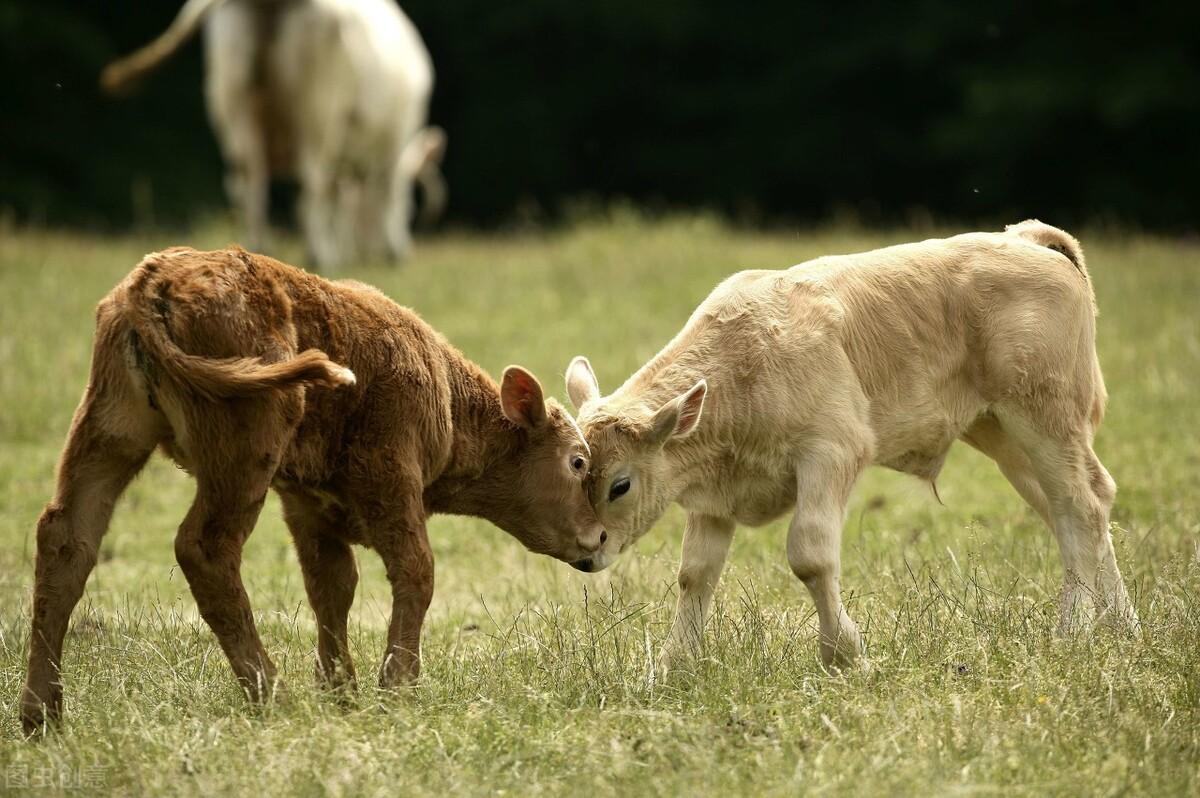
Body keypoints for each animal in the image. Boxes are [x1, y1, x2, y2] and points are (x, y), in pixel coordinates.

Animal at [25, 246, 609, 729]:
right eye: (577, 462)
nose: (600, 539)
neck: (445, 396)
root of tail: (154, 284)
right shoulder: (391, 476)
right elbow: (416, 571)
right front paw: (395, 687)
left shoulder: (306, 505)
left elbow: (332, 585)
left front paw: (341, 692)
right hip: (246, 445)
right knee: (204, 548)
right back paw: (273, 696)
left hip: (109, 428)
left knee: (67, 537)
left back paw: (42, 714)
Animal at [102, 0, 446, 268]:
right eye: (412, 207)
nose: (398, 251)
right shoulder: (397, 134)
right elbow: (385, 190)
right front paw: (389, 251)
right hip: (316, 107)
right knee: (310, 181)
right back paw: (319, 255)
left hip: (231, 98)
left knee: (248, 180)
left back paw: (258, 250)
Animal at [566, 219, 1137, 672]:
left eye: (620, 485)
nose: (586, 555)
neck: (743, 365)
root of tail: (1024, 239)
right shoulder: (714, 498)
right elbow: (695, 574)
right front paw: (671, 667)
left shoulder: (831, 452)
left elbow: (811, 555)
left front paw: (845, 656)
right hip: (1002, 432)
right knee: (1071, 508)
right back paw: (1121, 625)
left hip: (1044, 417)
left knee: (1080, 506)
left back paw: (1073, 630)